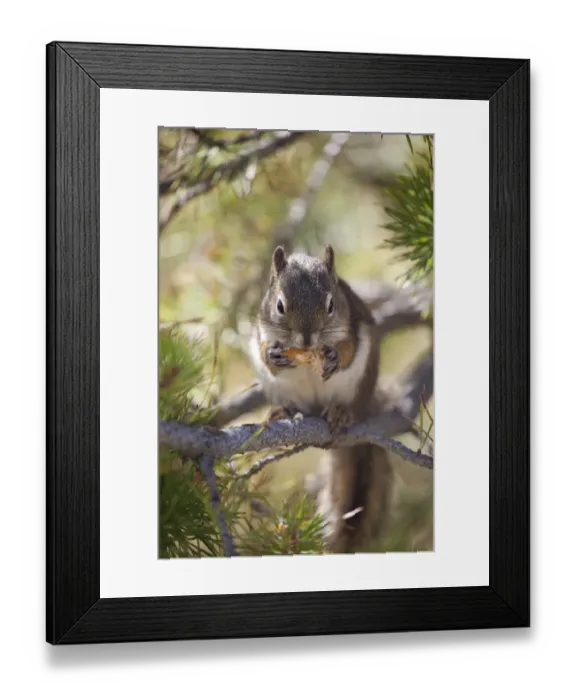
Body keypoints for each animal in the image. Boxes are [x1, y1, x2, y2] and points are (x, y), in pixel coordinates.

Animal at [249, 244, 394, 553]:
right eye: (279, 306)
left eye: (330, 305)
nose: (306, 339)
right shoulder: (261, 329)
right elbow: (266, 350)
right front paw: (273, 355)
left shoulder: (350, 322)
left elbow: (348, 348)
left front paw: (335, 357)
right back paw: (283, 411)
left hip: (359, 385)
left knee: (350, 405)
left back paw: (341, 413)